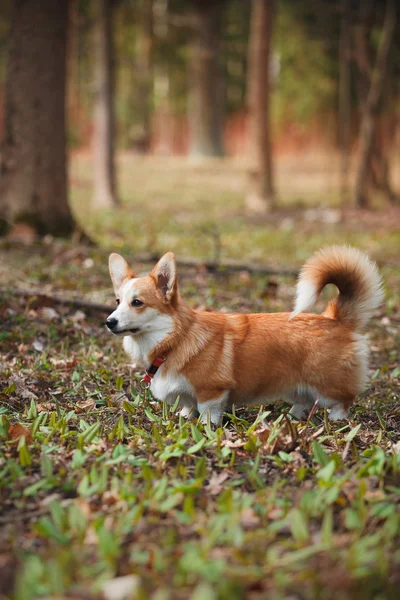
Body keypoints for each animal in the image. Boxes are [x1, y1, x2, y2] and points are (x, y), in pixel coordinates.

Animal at [106, 246, 384, 424]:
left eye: (137, 303)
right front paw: (185, 417)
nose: (109, 322)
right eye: (118, 301)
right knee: (304, 400)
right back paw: (292, 417)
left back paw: (336, 420)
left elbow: (208, 413)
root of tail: (334, 317)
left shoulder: (212, 392)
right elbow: (187, 405)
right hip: (294, 383)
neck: (175, 339)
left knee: (343, 400)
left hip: (326, 384)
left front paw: (206, 428)